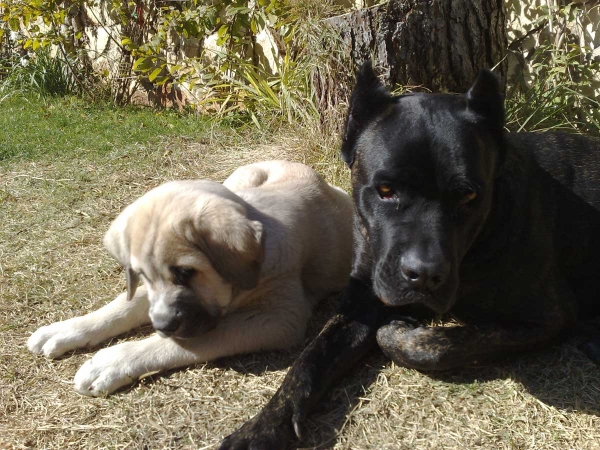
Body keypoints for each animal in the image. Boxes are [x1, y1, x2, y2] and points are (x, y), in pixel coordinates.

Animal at [219, 64, 600, 450]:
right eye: (385, 190)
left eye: (469, 197)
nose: (424, 274)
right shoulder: (360, 300)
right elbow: (309, 360)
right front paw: (262, 427)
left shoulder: (547, 315)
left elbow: (439, 345)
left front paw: (400, 332)